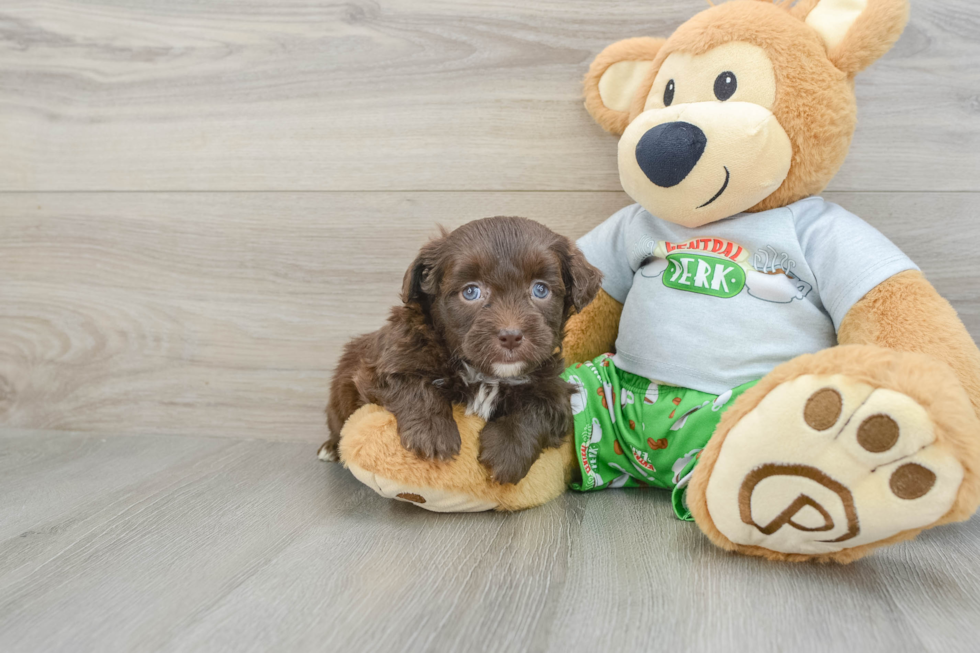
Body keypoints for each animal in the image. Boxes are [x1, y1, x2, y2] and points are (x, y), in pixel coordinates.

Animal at [318, 218, 600, 484]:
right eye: (470, 291)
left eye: (540, 289)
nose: (510, 336)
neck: (485, 373)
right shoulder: (389, 361)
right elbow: (414, 385)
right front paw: (433, 434)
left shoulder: (554, 386)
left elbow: (540, 408)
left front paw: (508, 452)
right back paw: (331, 448)